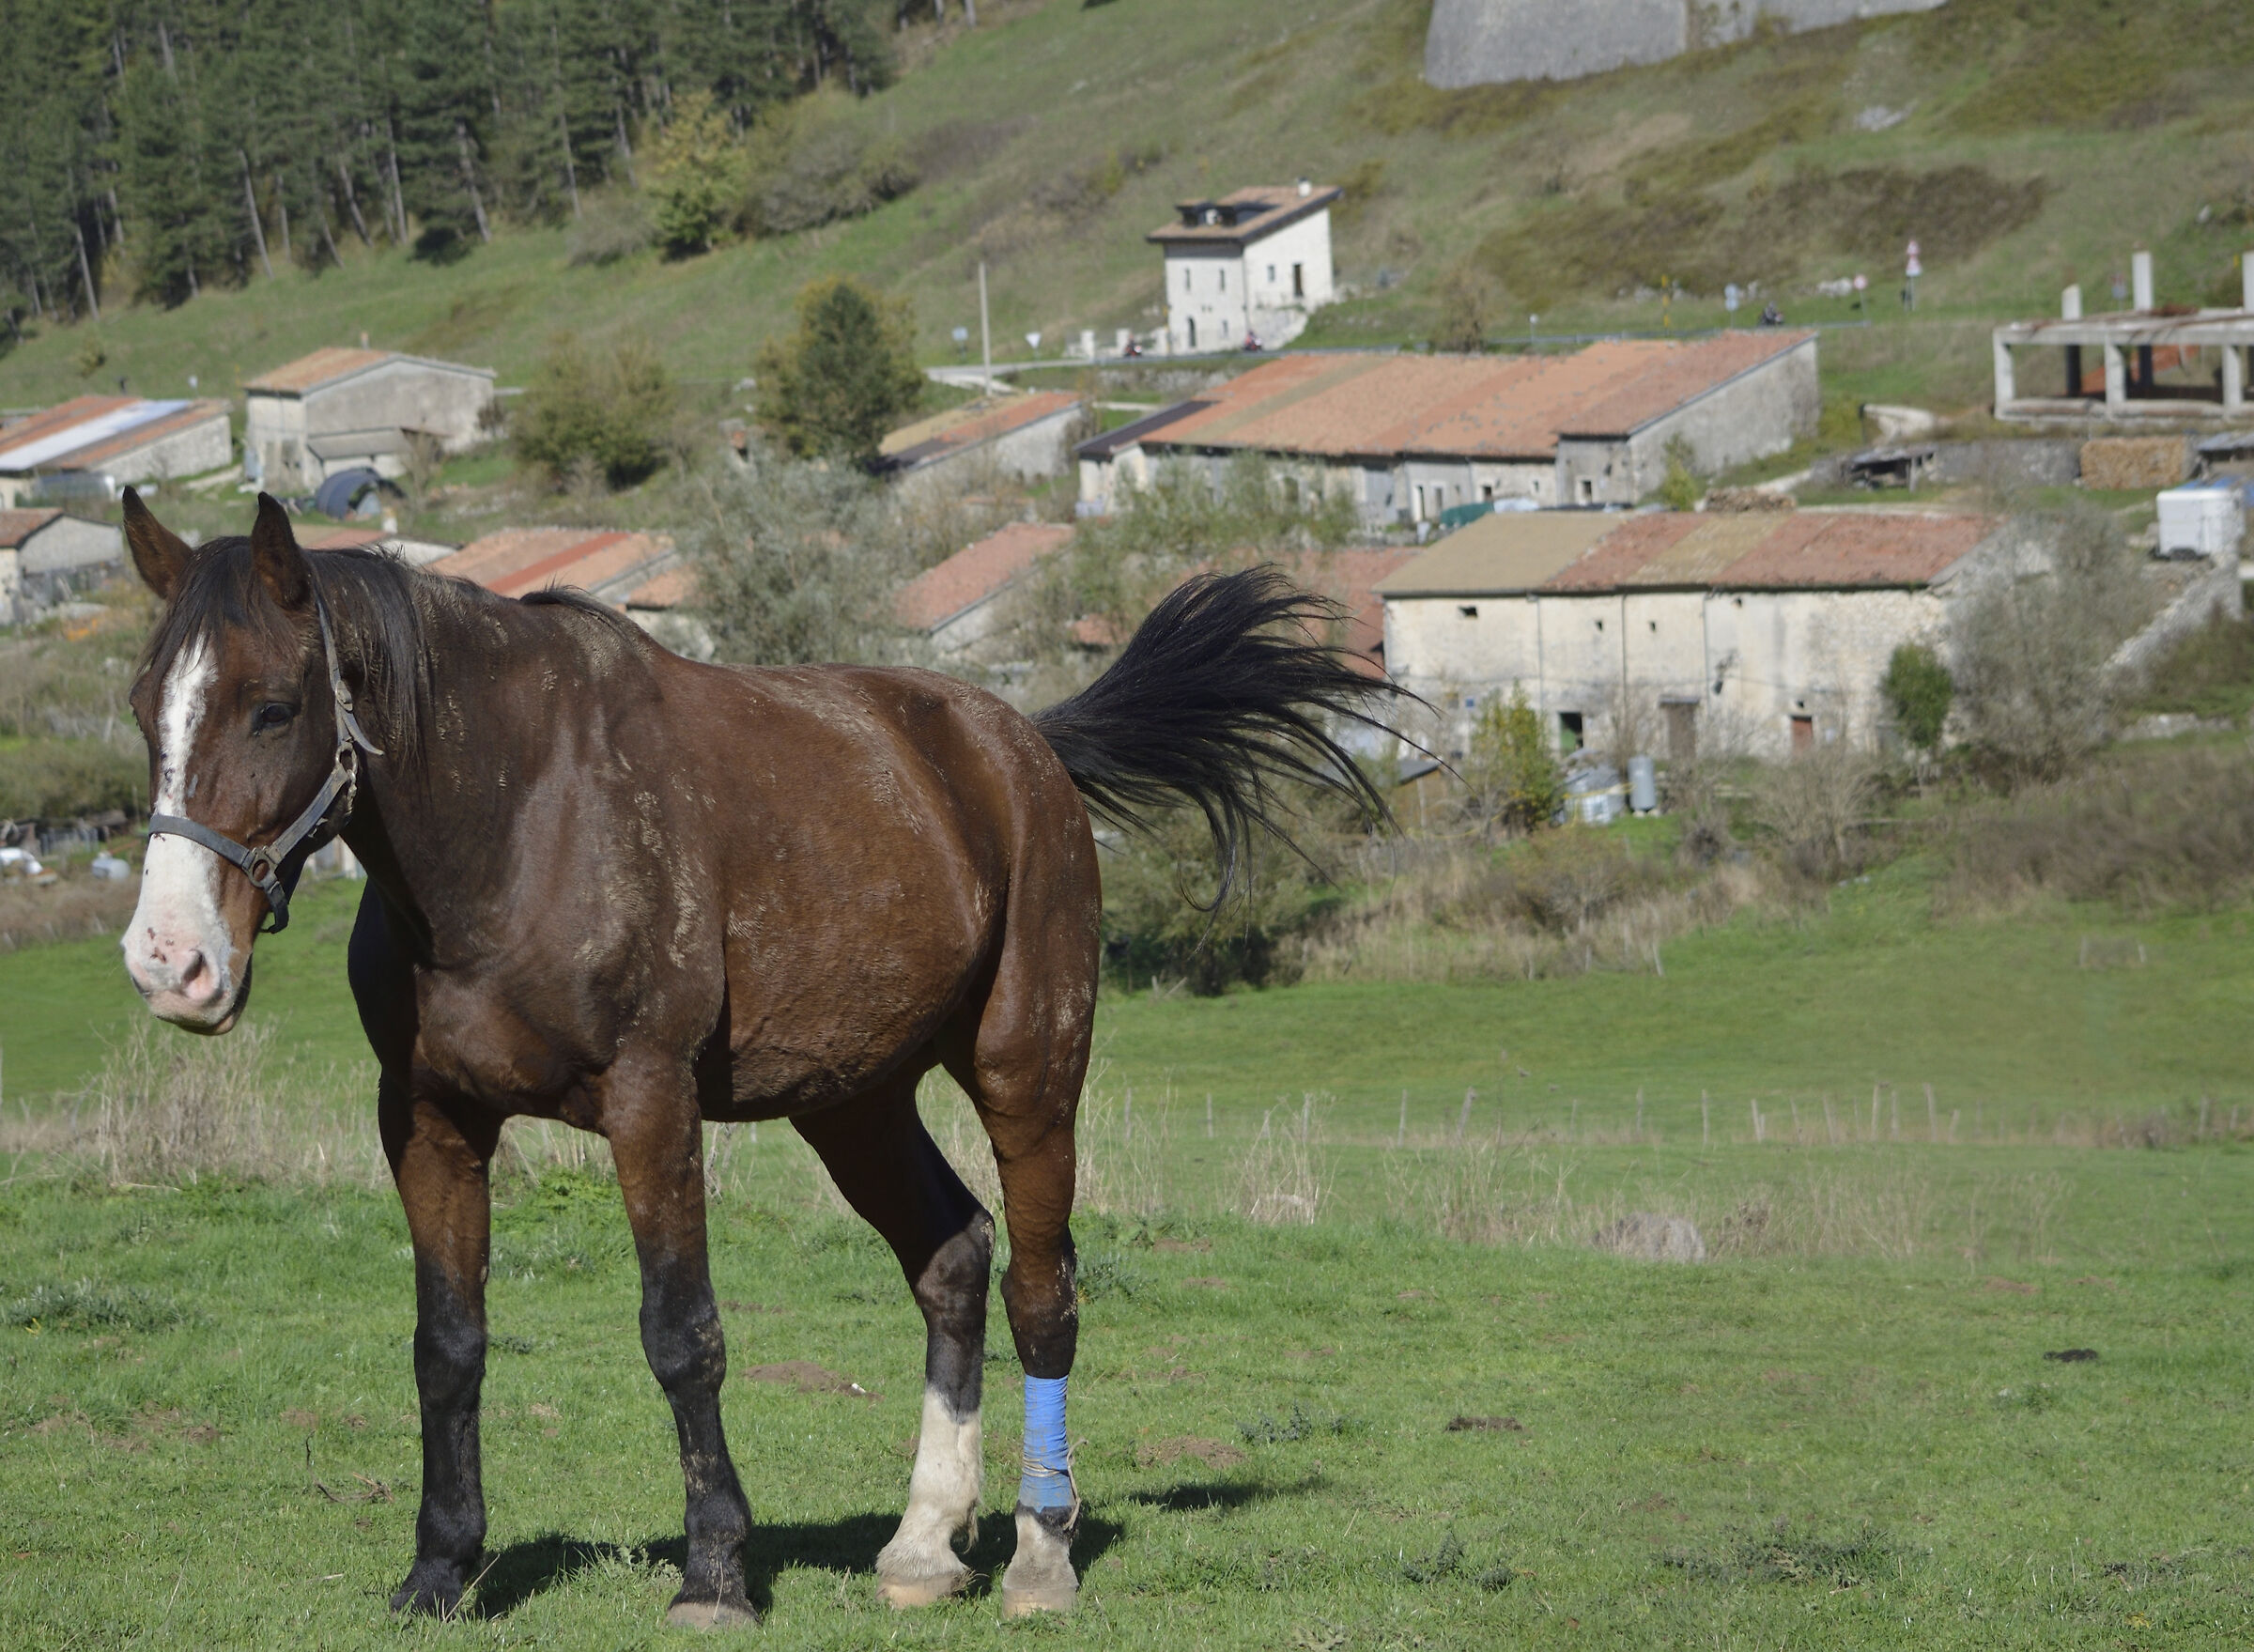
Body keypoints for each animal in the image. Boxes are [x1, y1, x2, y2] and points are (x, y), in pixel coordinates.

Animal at [115, 490, 1393, 1626]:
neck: (517, 821)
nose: (169, 961)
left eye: (274, 706)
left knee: (1041, 1290)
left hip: (1030, 1073)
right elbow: (448, 1344)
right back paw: (925, 1543)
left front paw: (715, 1572)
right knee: (953, 1257)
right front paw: (440, 1571)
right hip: (855, 1103)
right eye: (144, 708)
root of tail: (1023, 744)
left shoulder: (650, 1102)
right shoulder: (429, 1119)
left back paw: (1039, 1554)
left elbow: (683, 1336)